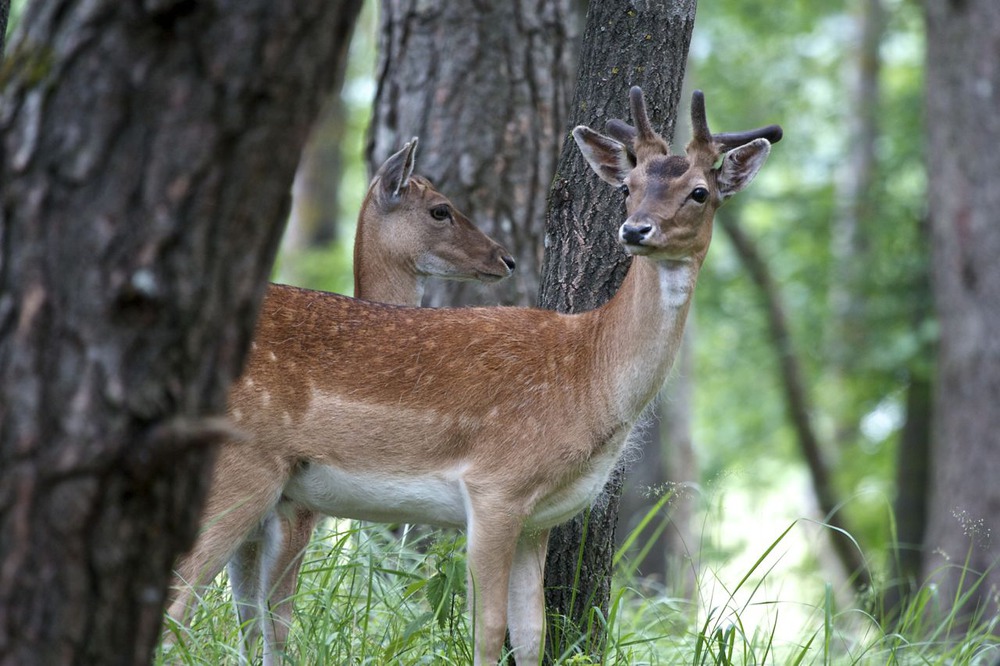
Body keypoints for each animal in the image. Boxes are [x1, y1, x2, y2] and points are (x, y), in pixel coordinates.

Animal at [166, 88, 780, 664]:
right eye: (627, 186)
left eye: (700, 192)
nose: (635, 229)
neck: (590, 375)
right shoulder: (494, 487)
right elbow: (487, 632)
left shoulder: (539, 520)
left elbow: (532, 637)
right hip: (240, 472)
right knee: (177, 609)